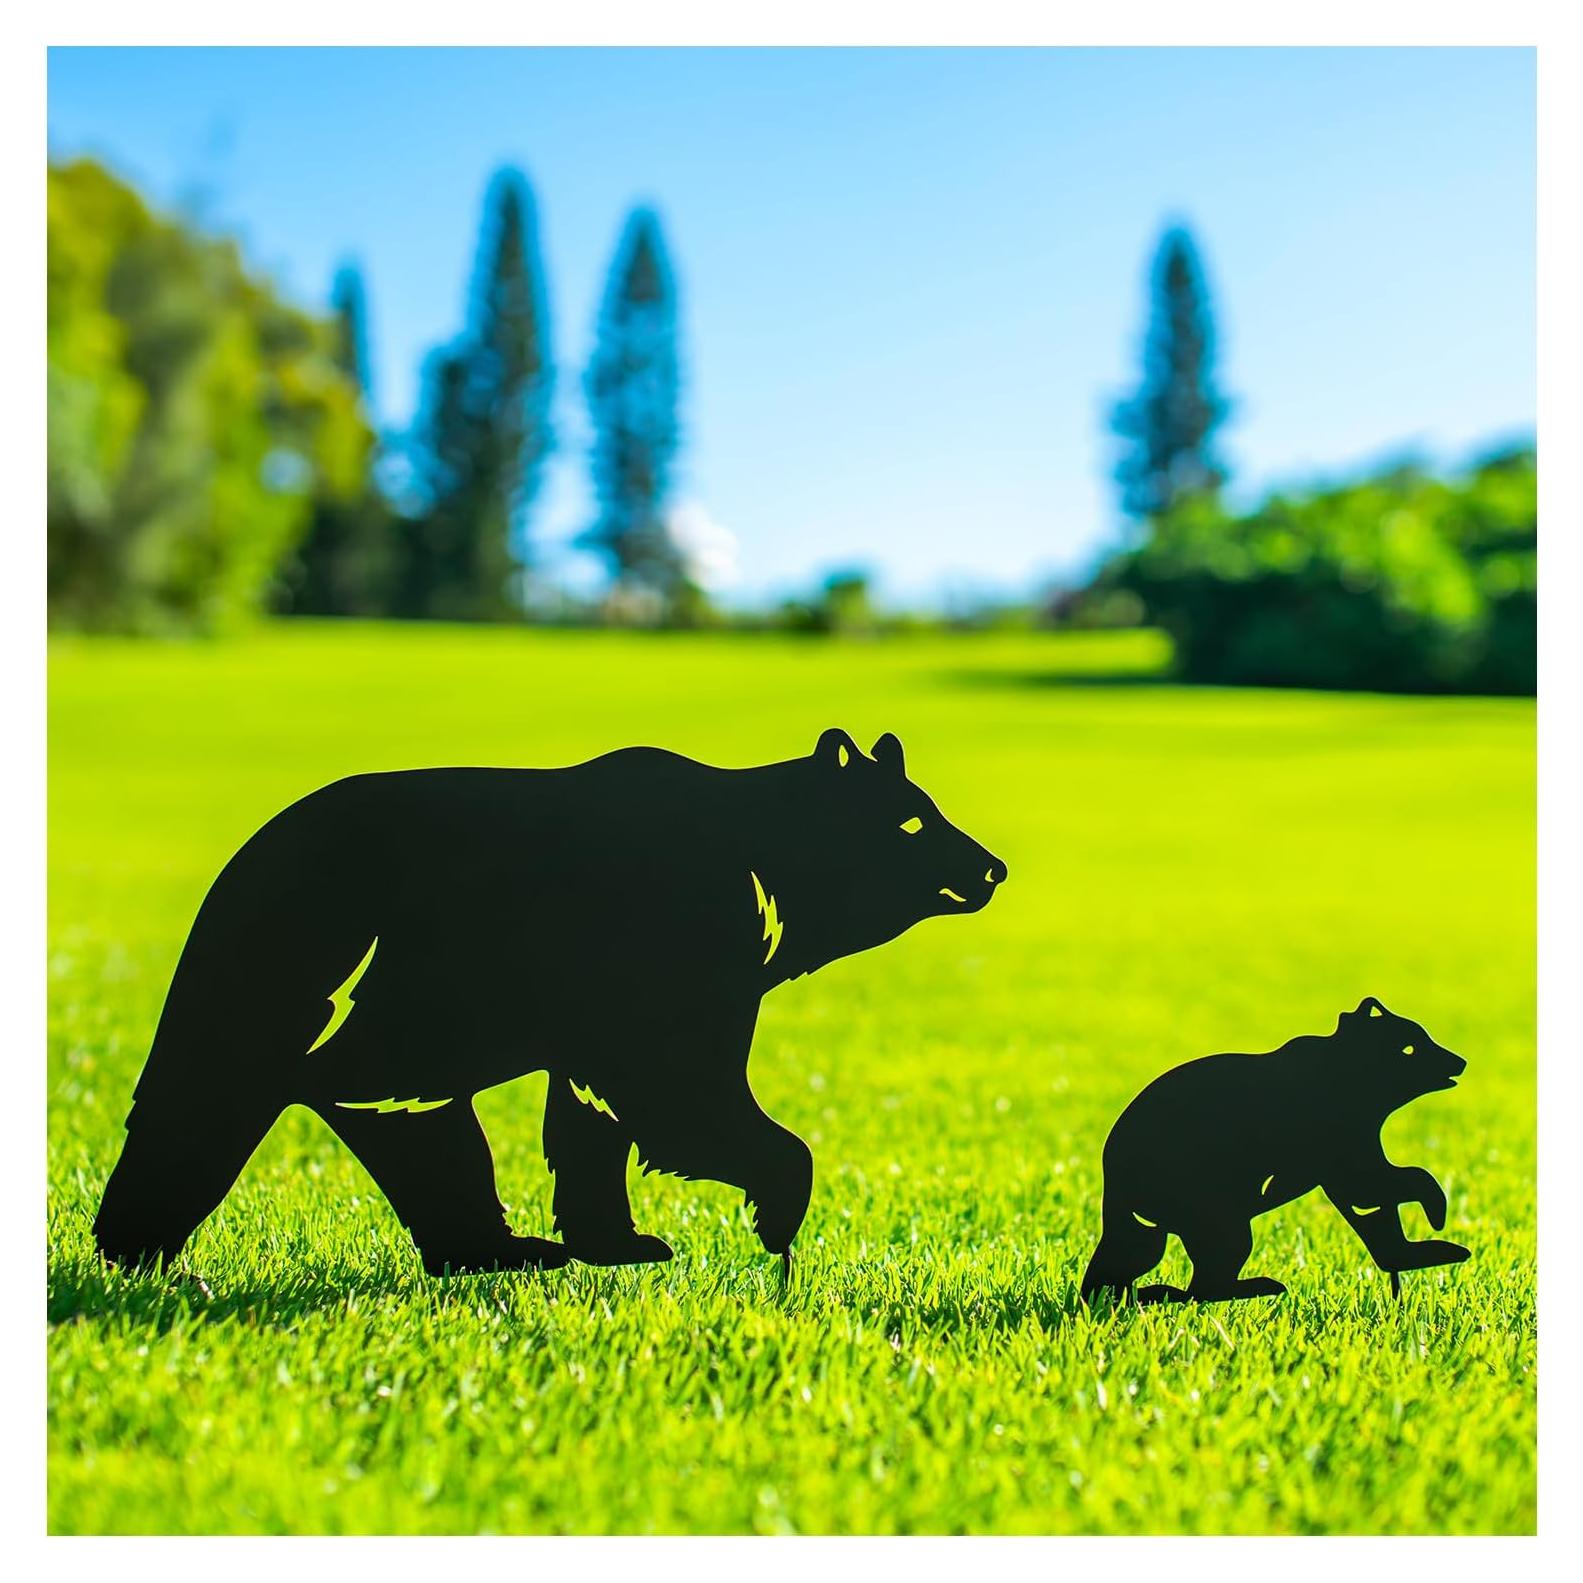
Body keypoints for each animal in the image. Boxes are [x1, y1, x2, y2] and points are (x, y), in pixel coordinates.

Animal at [93, 728, 1006, 1278]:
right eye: (914, 821)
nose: (992, 866)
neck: (773, 884)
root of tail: (241, 869)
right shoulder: (682, 947)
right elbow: (680, 1092)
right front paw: (776, 1216)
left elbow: (595, 1111)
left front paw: (627, 1239)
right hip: (366, 977)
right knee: (279, 1096)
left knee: (389, 1117)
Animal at [1079, 996, 1470, 1304]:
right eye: (1410, 1046)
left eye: (1424, 1036)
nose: (1459, 1061)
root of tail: (1113, 1175)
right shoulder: (1335, 1133)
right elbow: (1371, 1185)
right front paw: (1437, 1212)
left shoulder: (1350, 1136)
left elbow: (1368, 1200)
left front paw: (1420, 1252)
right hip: (1198, 1192)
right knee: (1219, 1249)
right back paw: (1252, 1285)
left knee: (1134, 1250)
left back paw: (1122, 1295)